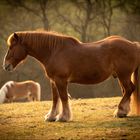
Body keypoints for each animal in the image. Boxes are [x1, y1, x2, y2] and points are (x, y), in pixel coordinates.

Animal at [2, 30, 140, 121]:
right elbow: (55, 99)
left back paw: (119, 111)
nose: (5, 65)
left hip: (123, 75)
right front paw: (51, 116)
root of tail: (133, 45)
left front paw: (63, 117)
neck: (54, 51)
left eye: (11, 47)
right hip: (121, 76)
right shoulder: (53, 81)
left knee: (129, 89)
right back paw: (123, 112)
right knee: (126, 91)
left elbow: (63, 98)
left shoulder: (61, 80)